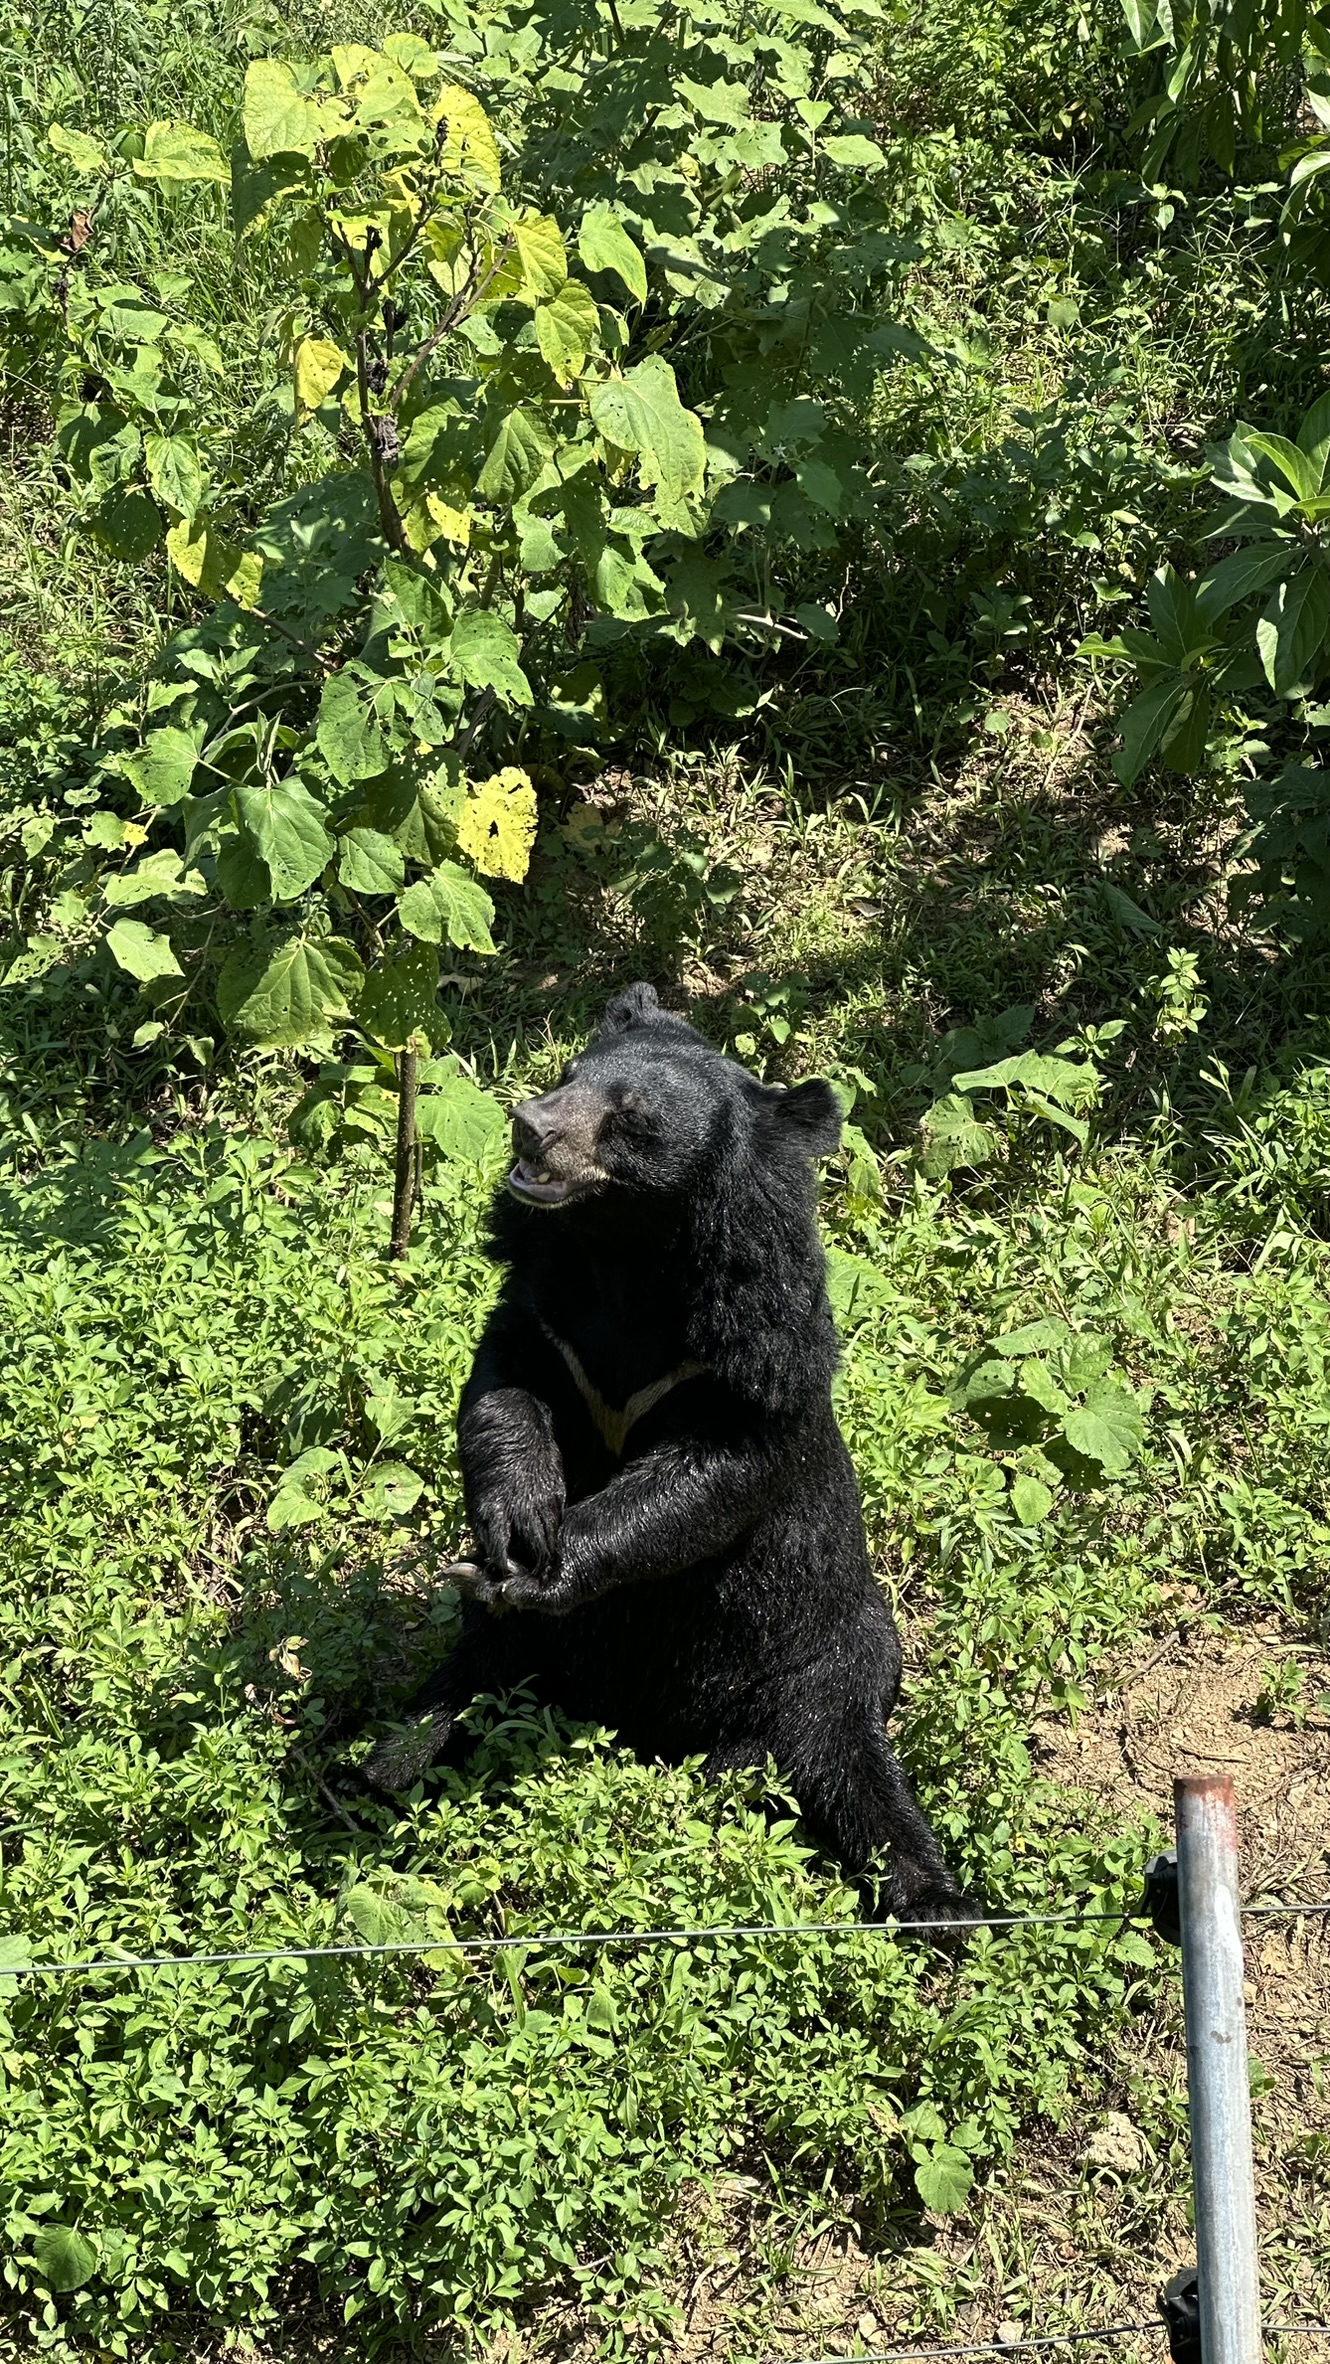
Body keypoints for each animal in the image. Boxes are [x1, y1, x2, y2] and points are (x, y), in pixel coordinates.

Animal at [369, 982, 977, 1929]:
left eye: (633, 1118)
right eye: (569, 1073)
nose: (527, 1126)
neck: (628, 1258)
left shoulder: (748, 1357)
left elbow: (703, 1480)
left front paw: (548, 1560)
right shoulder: (550, 1315)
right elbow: (505, 1387)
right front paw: (518, 1519)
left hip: (821, 1658)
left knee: (844, 1764)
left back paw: (937, 1902)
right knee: (471, 1674)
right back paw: (390, 1758)